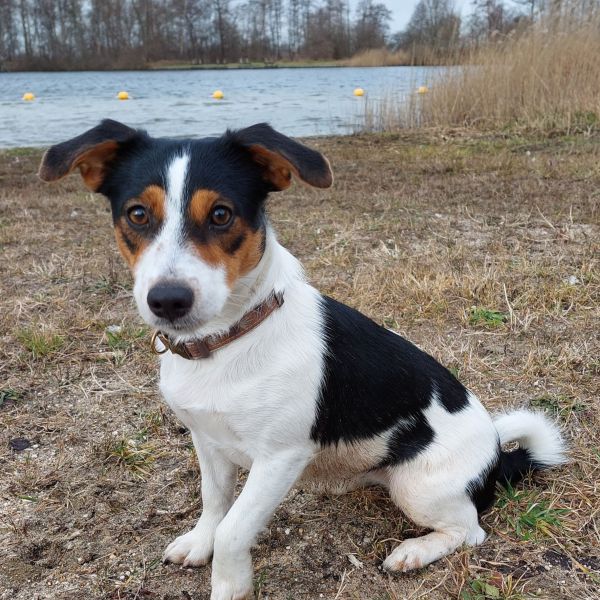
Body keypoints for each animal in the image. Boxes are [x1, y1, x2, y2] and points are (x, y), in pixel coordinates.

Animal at [38, 120, 568, 600]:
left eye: (222, 215)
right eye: (137, 214)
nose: (168, 300)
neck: (229, 340)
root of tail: (498, 453)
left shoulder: (279, 459)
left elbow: (233, 529)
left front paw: (230, 585)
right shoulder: (207, 441)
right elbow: (214, 503)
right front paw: (199, 542)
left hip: (419, 486)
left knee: (470, 530)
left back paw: (414, 551)